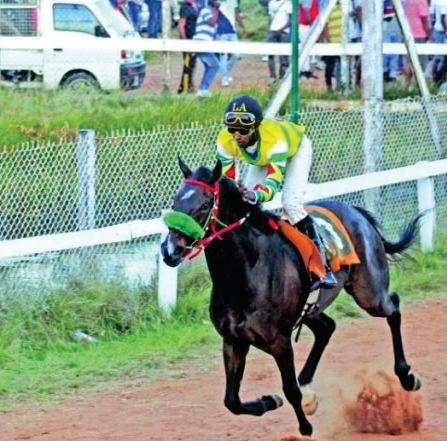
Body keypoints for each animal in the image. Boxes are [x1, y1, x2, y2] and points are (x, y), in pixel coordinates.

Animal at [160, 159, 422, 437]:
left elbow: (290, 390)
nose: (170, 250)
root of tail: (356, 212)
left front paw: (305, 427)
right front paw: (269, 401)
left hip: (369, 293)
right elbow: (232, 401)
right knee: (327, 327)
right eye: (175, 201)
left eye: (204, 205)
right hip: (311, 308)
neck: (245, 274)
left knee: (393, 306)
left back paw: (406, 376)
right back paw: (307, 383)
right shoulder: (233, 341)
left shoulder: (279, 341)